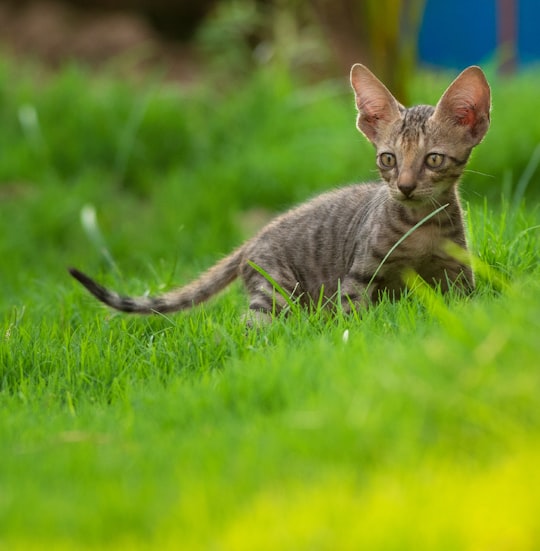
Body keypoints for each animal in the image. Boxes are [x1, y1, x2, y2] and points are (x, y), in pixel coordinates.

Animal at [69, 63, 492, 324]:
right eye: (388, 159)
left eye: (433, 159)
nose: (404, 186)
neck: (419, 224)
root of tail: (254, 237)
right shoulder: (359, 275)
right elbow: (355, 317)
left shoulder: (459, 274)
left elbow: (468, 305)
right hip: (274, 289)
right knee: (247, 329)